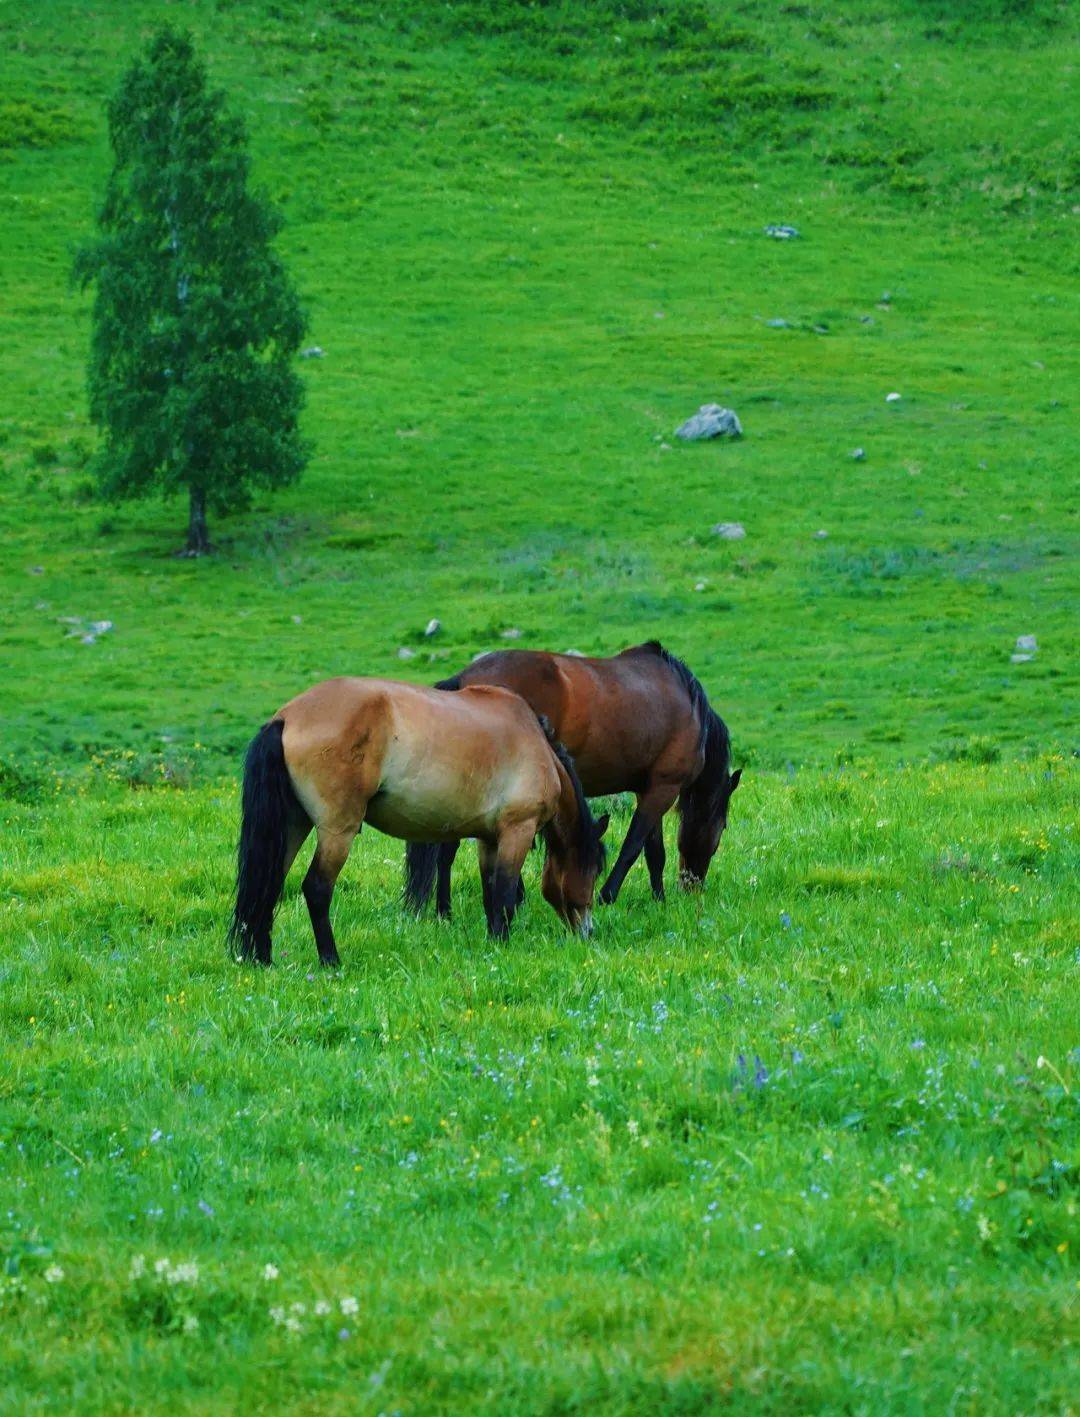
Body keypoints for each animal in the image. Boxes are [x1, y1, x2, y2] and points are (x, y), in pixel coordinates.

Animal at [229, 677, 609, 966]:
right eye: (592, 871)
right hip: (337, 832)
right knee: (317, 889)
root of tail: (286, 717)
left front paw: (492, 942)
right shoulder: (518, 830)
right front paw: (502, 945)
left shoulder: (489, 838)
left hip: (293, 826)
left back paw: (262, 958)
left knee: (269, 884)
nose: (587, 931)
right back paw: (331, 961)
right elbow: (503, 892)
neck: (536, 745)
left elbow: (490, 893)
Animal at [404, 641, 740, 918]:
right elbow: (633, 847)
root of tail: (463, 680)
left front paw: (659, 900)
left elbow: (654, 853)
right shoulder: (664, 788)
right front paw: (607, 895)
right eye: (722, 826)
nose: (693, 885)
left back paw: (447, 910)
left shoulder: (649, 788)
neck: (689, 706)